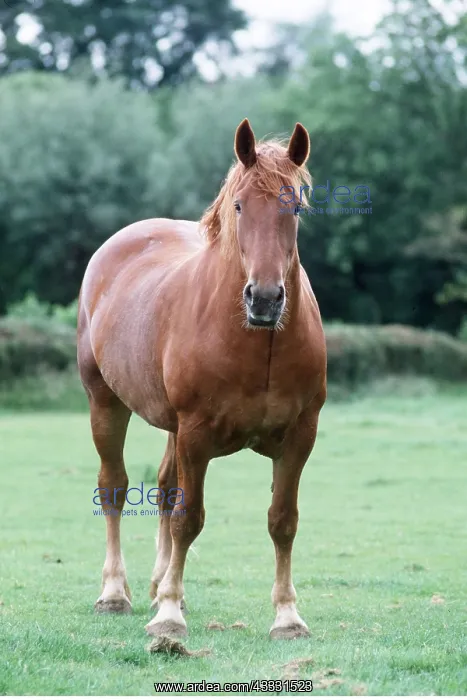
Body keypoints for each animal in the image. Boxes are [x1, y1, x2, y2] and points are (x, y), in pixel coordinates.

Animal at [77, 119, 327, 640]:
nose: (265, 298)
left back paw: (157, 587)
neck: (258, 346)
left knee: (165, 488)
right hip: (105, 403)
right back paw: (115, 593)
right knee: (115, 487)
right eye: (238, 205)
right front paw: (169, 617)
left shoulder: (300, 438)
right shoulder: (195, 435)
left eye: (294, 206)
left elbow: (282, 521)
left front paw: (287, 616)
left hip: (171, 427)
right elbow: (187, 519)